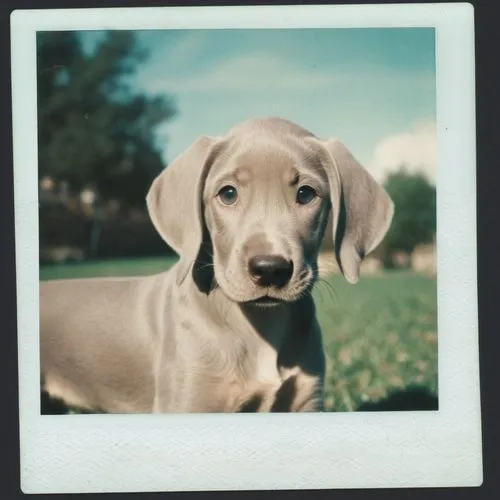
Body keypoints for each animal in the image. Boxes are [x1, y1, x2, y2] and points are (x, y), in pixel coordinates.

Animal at [40, 117, 394, 414]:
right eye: (228, 193)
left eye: (306, 194)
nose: (269, 268)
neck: (259, 324)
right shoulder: (188, 403)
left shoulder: (305, 401)